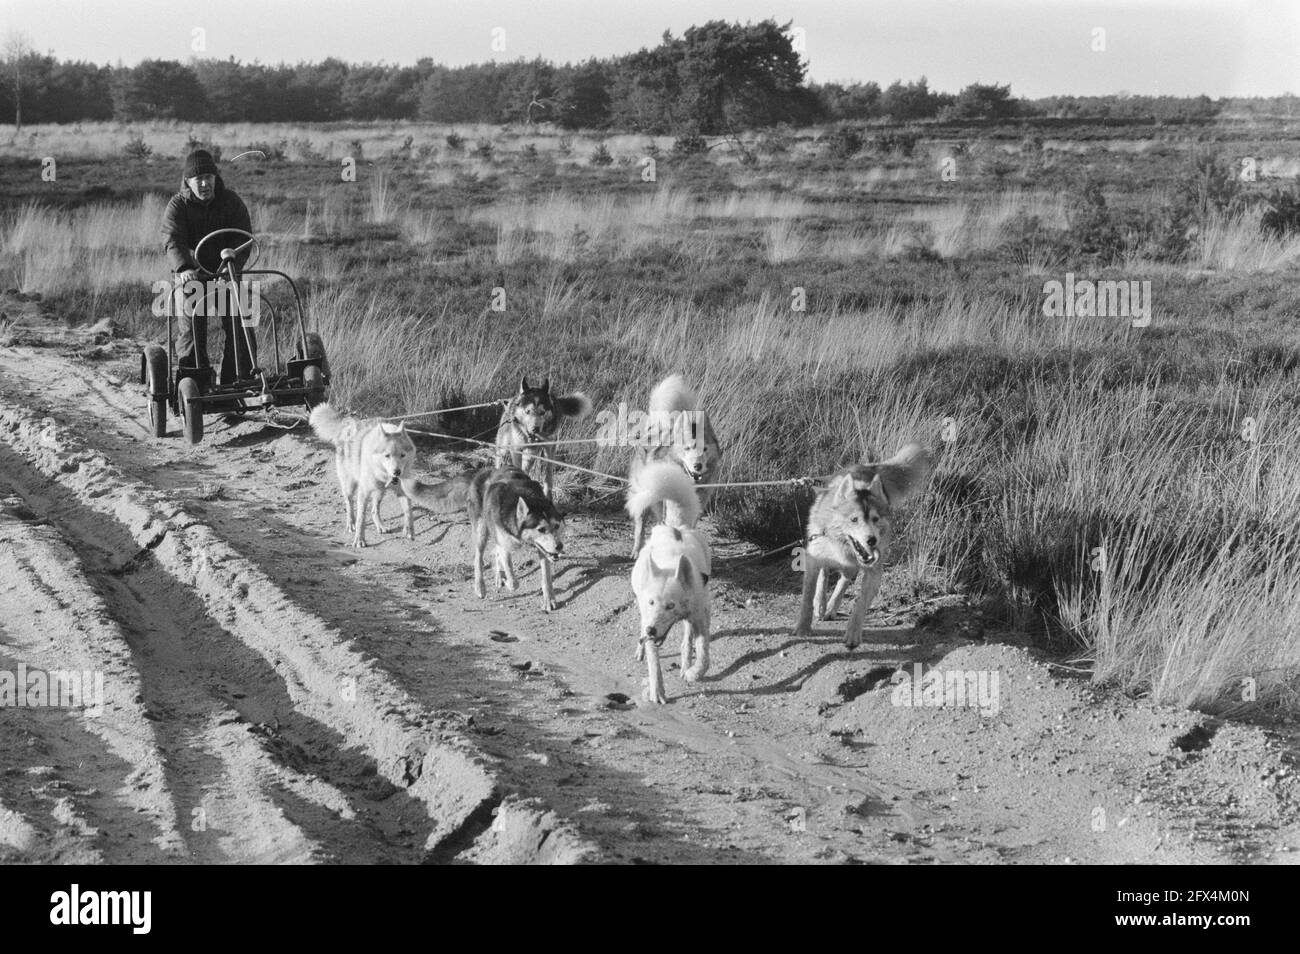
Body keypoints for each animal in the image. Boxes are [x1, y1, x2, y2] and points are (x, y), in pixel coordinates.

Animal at [310, 408, 416, 548]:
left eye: (402, 455)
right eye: (387, 455)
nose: (397, 472)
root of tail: (346, 423)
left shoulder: (402, 491)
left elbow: (408, 511)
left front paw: (409, 531)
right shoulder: (363, 493)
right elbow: (361, 519)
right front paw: (359, 540)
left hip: (380, 491)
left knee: (374, 510)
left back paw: (381, 526)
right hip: (350, 487)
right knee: (349, 504)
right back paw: (351, 524)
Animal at [470, 467, 566, 613]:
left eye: (556, 526)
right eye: (541, 529)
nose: (559, 546)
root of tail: (487, 470)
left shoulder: (542, 550)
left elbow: (546, 577)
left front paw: (549, 600)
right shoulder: (504, 544)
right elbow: (513, 580)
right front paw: (509, 583)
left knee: (495, 551)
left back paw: (499, 576)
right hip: (482, 531)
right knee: (478, 557)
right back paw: (480, 587)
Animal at [626, 371, 722, 556]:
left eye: (705, 449)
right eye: (687, 448)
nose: (697, 466)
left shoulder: (696, 507)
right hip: (643, 494)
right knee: (640, 524)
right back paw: (637, 549)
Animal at [626, 460, 712, 707]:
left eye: (671, 605)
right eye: (652, 602)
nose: (652, 630)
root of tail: (675, 526)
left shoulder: (700, 616)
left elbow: (703, 655)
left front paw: (693, 672)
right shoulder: (647, 615)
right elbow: (654, 661)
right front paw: (657, 690)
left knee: (687, 640)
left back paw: (685, 662)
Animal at [785, 447, 930, 649]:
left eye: (875, 519)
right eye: (854, 519)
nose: (872, 540)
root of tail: (868, 466)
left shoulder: (874, 572)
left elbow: (860, 604)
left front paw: (853, 633)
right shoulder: (813, 558)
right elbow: (808, 595)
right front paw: (803, 627)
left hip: (853, 565)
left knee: (845, 578)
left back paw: (831, 606)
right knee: (825, 573)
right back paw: (821, 604)